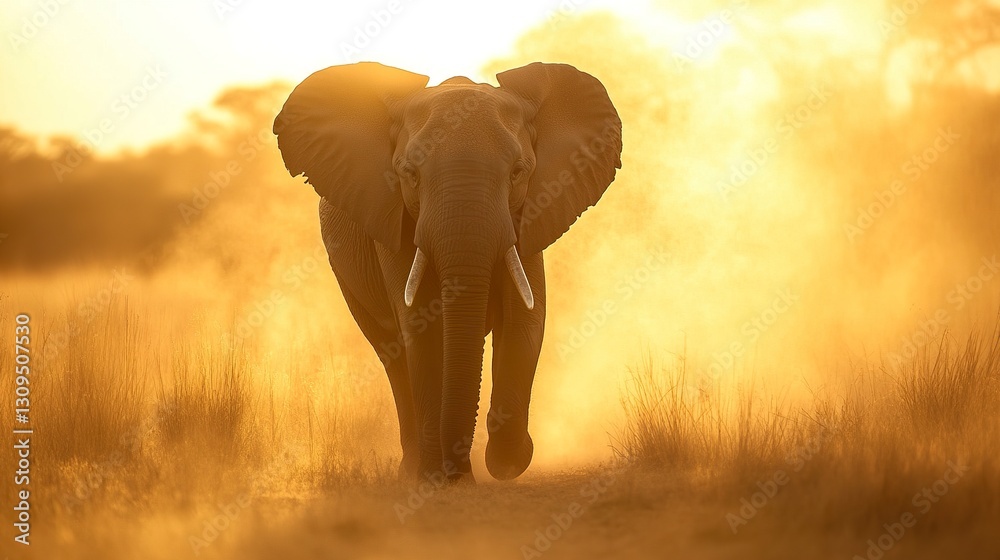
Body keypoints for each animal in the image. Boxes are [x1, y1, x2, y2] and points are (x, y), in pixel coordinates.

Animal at [273, 61, 622, 483]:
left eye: (518, 173)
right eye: (410, 174)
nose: (459, 473)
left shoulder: (528, 217)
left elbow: (525, 320)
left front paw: (506, 462)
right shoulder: (394, 219)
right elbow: (421, 328)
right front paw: (442, 478)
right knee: (392, 355)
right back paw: (412, 469)